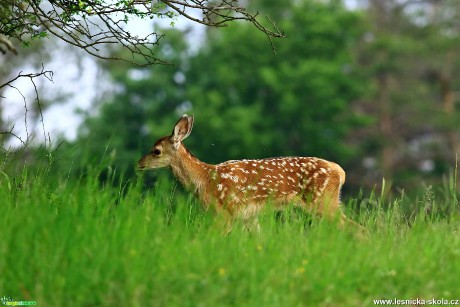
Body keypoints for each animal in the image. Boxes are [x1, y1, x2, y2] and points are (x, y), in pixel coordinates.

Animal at [138, 115, 358, 229]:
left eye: (156, 151)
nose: (139, 164)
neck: (204, 179)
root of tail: (339, 171)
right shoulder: (248, 217)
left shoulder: (224, 213)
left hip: (322, 201)